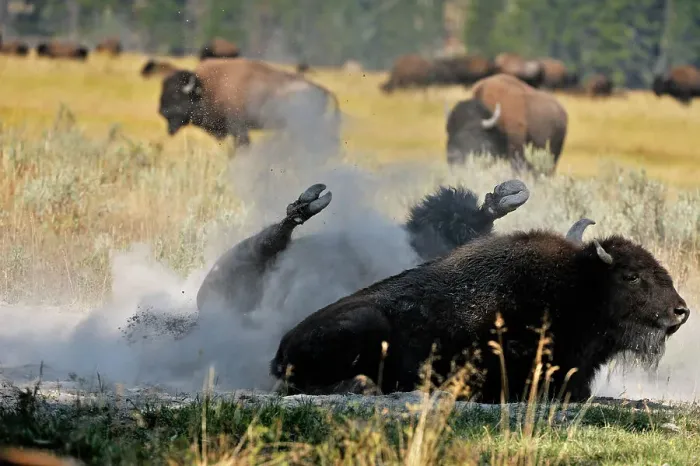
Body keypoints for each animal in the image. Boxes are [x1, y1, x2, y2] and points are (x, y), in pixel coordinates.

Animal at [270, 218, 690, 403]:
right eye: (631, 276)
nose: (681, 311)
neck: (578, 286)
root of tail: (282, 346)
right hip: (365, 324)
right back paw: (364, 386)